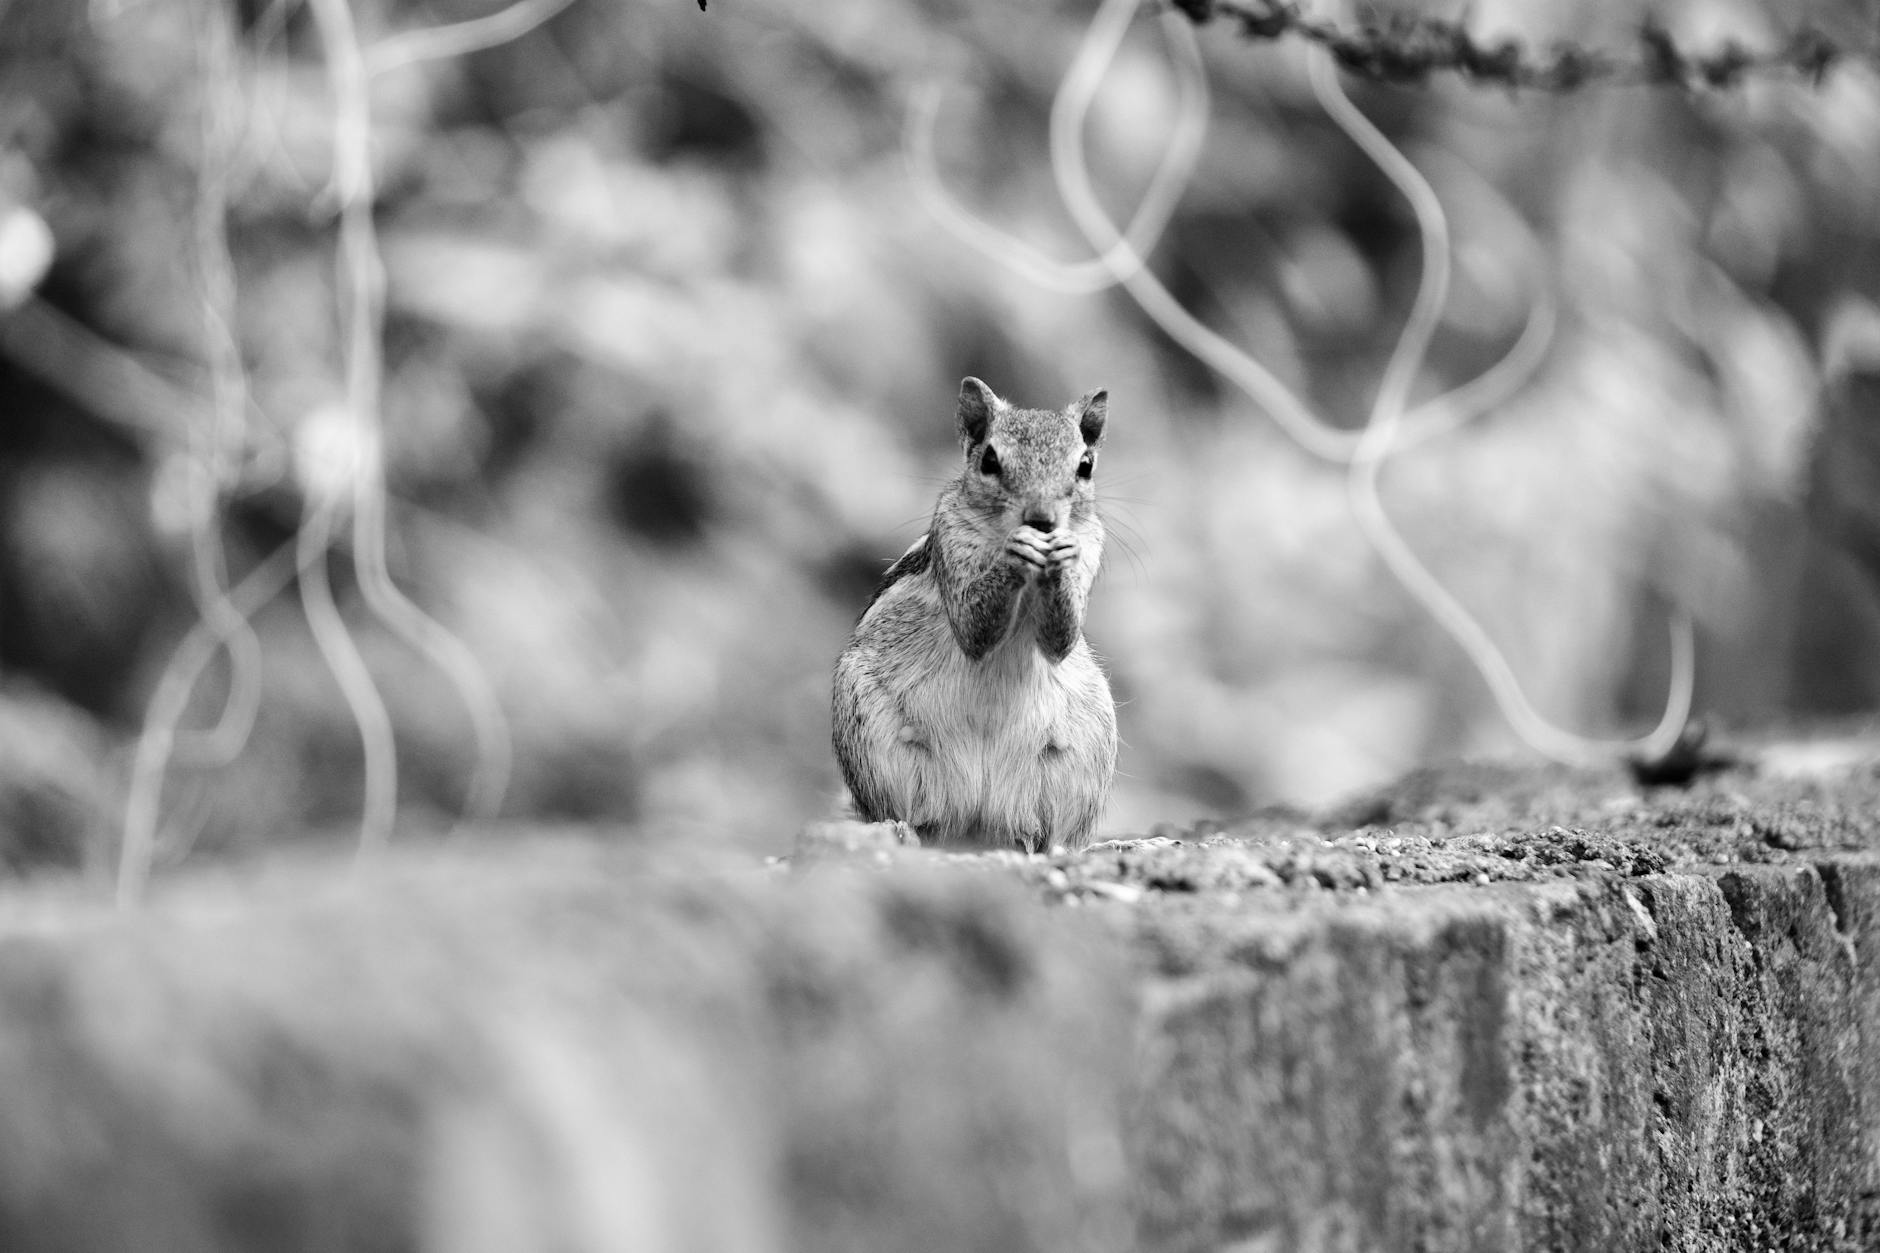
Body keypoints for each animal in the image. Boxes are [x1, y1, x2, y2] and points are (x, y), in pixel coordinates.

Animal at [827, 372, 1112, 850]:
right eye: (990, 460)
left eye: (1085, 465)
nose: (1041, 520)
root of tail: (977, 819)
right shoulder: (950, 538)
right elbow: (973, 629)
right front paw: (1016, 551)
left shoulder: (1092, 547)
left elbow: (1061, 641)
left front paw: (1058, 554)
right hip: (872, 738)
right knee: (905, 813)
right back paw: (902, 829)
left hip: (1084, 752)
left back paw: (1046, 844)